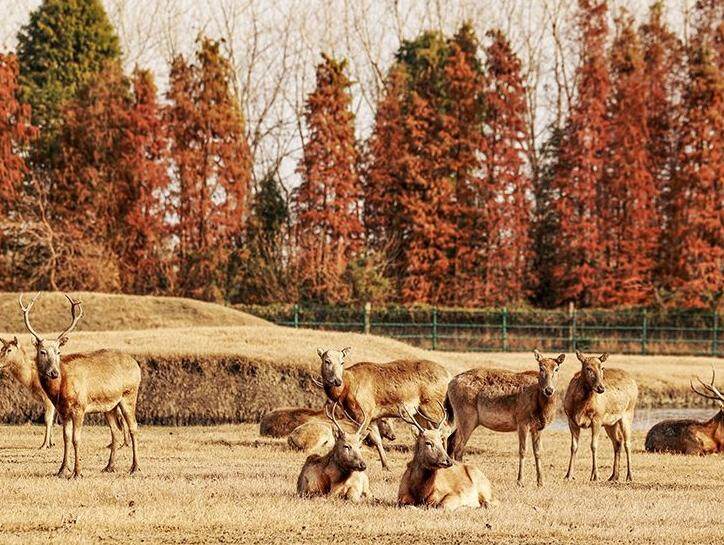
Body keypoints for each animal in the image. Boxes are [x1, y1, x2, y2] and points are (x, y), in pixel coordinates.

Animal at [19, 294, 142, 476]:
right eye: (42, 351)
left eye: (58, 352)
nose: (54, 373)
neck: (61, 390)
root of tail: (136, 365)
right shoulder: (63, 410)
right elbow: (66, 438)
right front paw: (62, 470)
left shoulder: (80, 407)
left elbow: (76, 439)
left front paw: (77, 472)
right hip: (109, 406)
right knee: (115, 431)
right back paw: (109, 466)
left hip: (129, 394)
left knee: (133, 427)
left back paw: (134, 467)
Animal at [314, 346, 450, 470]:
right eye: (327, 361)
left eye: (342, 361)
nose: (337, 381)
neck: (346, 390)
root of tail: (448, 375)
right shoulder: (373, 416)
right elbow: (377, 439)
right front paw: (386, 466)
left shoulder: (364, 413)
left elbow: (360, 437)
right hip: (419, 412)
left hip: (432, 404)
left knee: (445, 428)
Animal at [444, 348, 564, 484]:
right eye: (541, 368)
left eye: (556, 369)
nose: (549, 390)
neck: (543, 409)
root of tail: (449, 384)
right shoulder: (522, 421)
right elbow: (522, 451)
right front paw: (520, 481)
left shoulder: (537, 427)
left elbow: (538, 452)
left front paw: (540, 482)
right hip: (466, 416)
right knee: (458, 447)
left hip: (465, 419)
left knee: (451, 440)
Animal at [564, 348, 636, 480]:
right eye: (588, 368)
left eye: (602, 367)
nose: (601, 388)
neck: (580, 405)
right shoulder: (571, 420)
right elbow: (573, 447)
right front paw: (568, 475)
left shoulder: (597, 418)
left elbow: (593, 445)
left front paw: (595, 475)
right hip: (610, 423)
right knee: (618, 441)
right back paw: (613, 476)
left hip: (628, 413)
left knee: (627, 443)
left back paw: (629, 476)